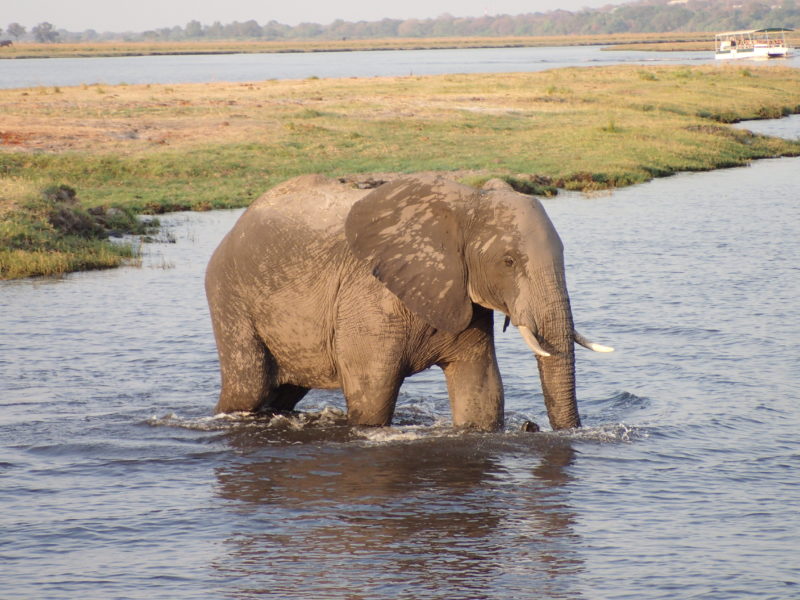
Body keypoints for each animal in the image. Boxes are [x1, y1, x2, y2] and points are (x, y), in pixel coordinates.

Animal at [206, 173, 612, 432]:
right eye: (508, 262)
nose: (535, 428)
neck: (465, 205)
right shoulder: (369, 298)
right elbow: (371, 398)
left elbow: (482, 393)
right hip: (230, 296)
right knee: (249, 388)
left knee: (282, 393)